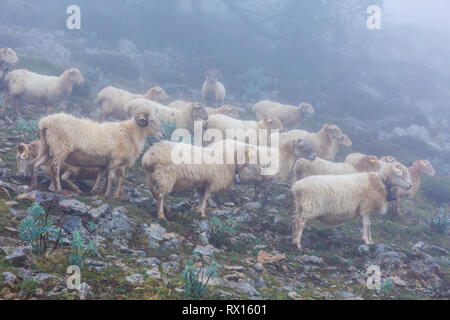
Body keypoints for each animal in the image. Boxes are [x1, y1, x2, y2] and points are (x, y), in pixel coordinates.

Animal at [30, 109, 163, 198]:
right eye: (151, 121)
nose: (163, 134)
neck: (130, 133)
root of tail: (45, 122)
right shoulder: (115, 161)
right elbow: (111, 178)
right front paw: (107, 195)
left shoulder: (104, 163)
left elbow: (99, 177)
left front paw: (94, 191)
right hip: (60, 148)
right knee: (55, 167)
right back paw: (58, 189)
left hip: (46, 147)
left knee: (36, 163)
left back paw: (34, 184)